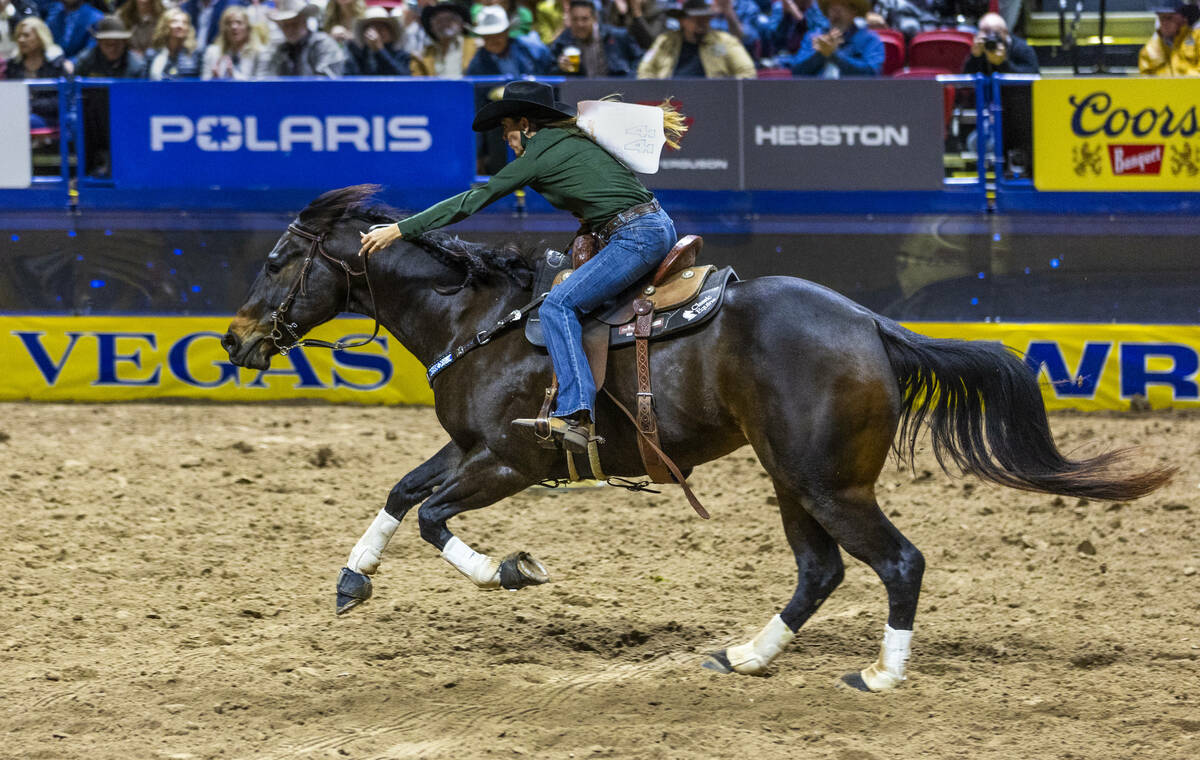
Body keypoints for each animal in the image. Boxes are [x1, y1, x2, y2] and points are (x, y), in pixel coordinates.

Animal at [220, 187, 1166, 691]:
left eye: (274, 260)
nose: (234, 342)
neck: (480, 317)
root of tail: (871, 324)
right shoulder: (468, 447)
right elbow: (402, 493)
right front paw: (352, 580)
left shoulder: (514, 460)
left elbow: (432, 517)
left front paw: (515, 569)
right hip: (791, 479)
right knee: (820, 570)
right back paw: (748, 655)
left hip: (826, 484)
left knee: (897, 562)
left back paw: (880, 674)